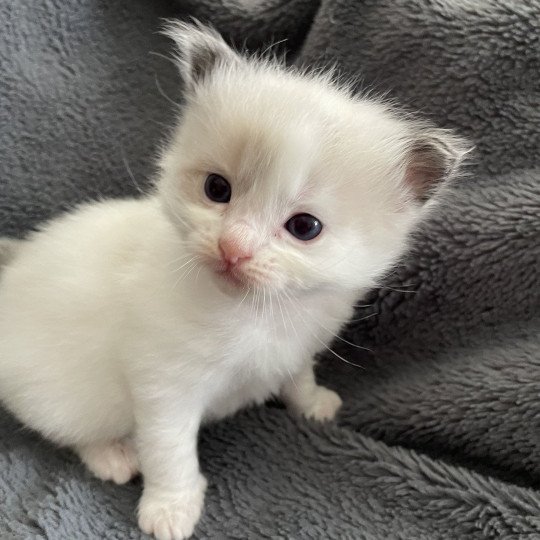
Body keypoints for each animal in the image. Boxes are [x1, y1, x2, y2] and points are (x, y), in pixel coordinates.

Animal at [0, 21, 466, 540]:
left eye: (305, 227)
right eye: (217, 189)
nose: (233, 247)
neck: (254, 313)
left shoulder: (297, 345)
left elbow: (297, 376)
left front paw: (312, 404)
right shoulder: (163, 385)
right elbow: (169, 451)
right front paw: (170, 508)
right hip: (66, 396)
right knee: (67, 429)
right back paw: (112, 456)